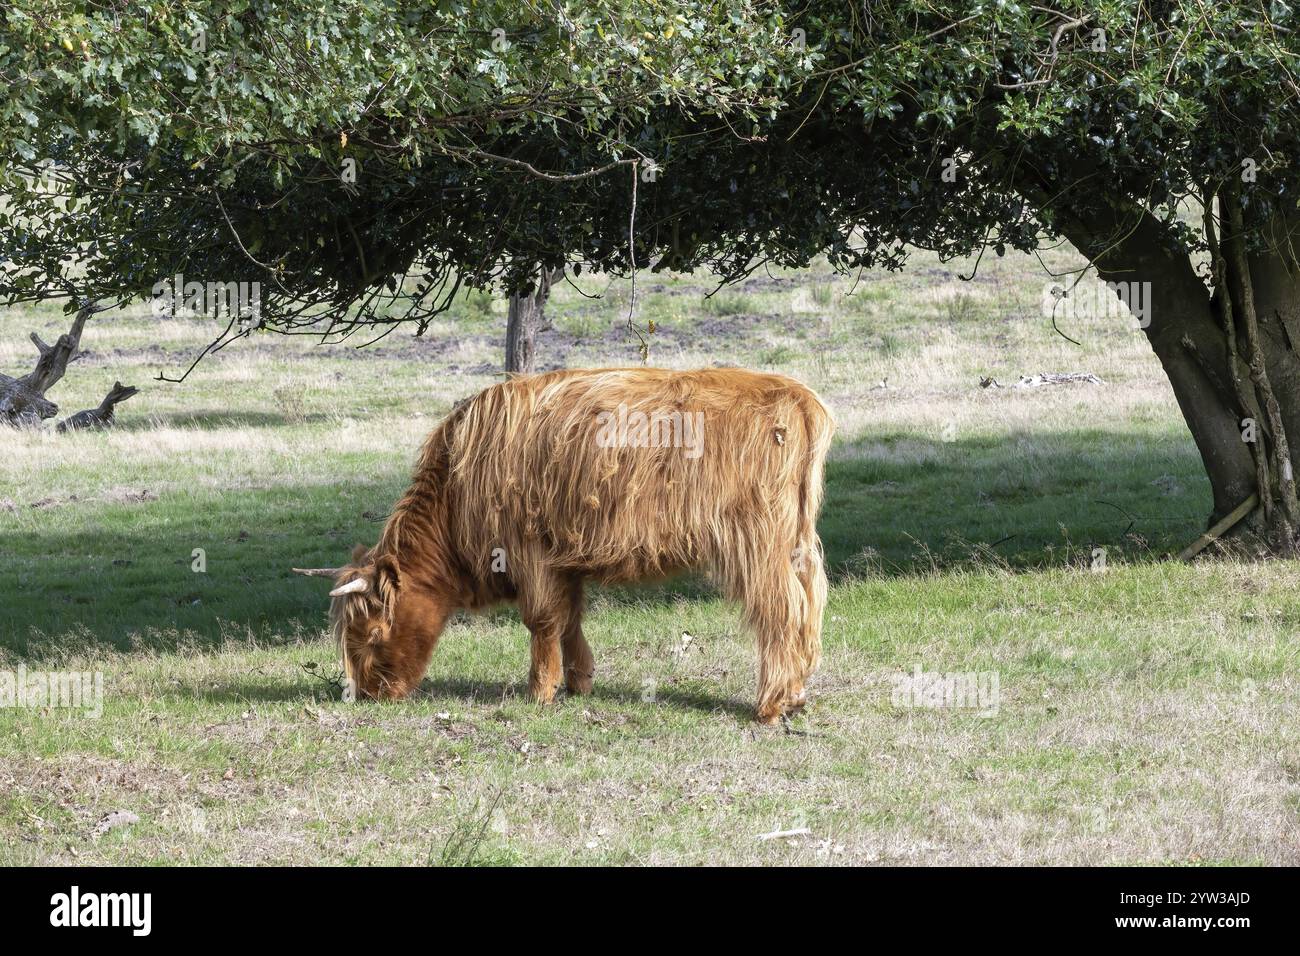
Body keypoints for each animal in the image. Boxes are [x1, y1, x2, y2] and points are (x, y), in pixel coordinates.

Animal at [294, 367, 834, 723]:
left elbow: (541, 621)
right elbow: (570, 618)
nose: (371, 694)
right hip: (797, 542)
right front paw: (579, 682)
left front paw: (539, 691)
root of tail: (797, 395)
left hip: (758, 543)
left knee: (780, 608)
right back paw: (797, 693)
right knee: (810, 601)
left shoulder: (529, 552)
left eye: (372, 633)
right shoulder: (564, 559)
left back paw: (770, 703)